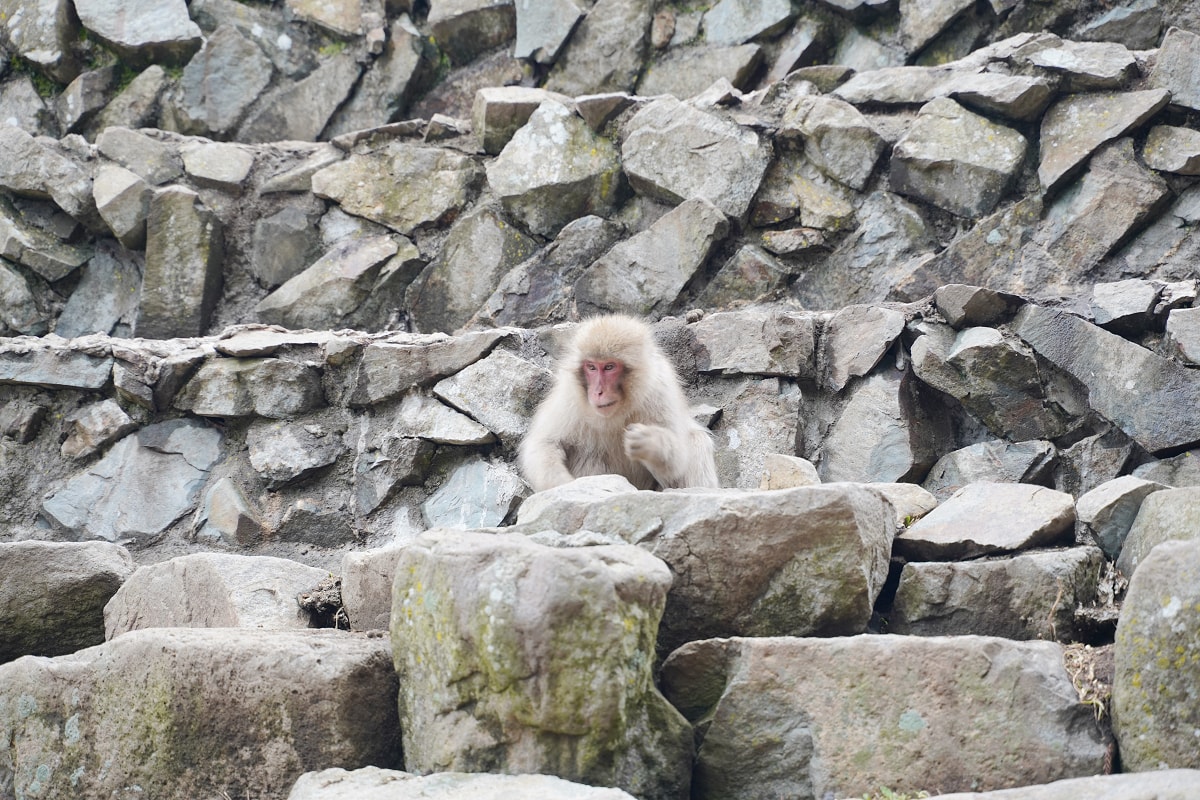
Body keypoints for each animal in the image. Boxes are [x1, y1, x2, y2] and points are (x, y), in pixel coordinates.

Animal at [519, 314, 719, 492]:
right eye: (591, 367)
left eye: (609, 367)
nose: (598, 392)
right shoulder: (570, 395)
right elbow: (544, 444)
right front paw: (565, 484)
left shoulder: (660, 390)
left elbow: (679, 460)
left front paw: (653, 445)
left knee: (697, 440)